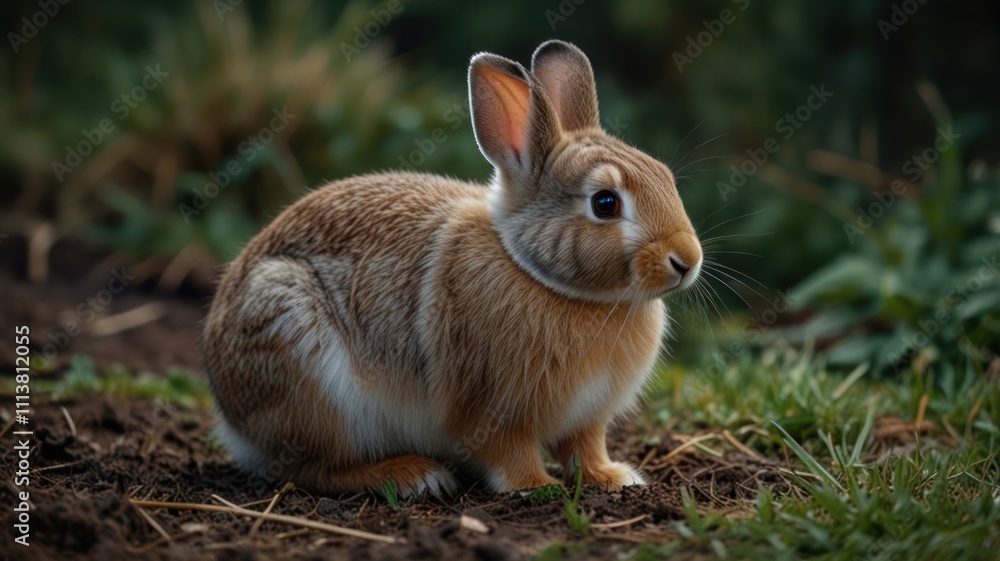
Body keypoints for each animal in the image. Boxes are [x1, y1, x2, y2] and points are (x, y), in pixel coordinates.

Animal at [202, 39, 703, 497]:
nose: (687, 260)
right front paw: (536, 486)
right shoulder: (490, 410)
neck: (542, 276)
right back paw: (413, 476)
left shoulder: (588, 418)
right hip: (299, 351)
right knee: (314, 467)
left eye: (665, 177)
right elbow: (509, 452)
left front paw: (613, 476)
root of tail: (230, 415)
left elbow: (585, 448)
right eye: (605, 203)